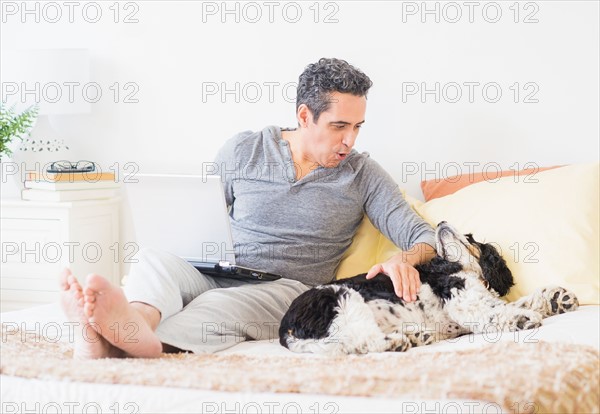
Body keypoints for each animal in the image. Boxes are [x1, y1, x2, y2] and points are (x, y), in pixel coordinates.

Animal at [278, 222, 580, 354]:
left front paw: (557, 298)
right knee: (361, 342)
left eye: (469, 237)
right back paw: (400, 341)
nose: (442, 222)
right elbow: (494, 312)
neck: (465, 270)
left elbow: (517, 301)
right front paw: (521, 318)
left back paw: (415, 336)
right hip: (343, 300)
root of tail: (285, 329)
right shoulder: (461, 296)